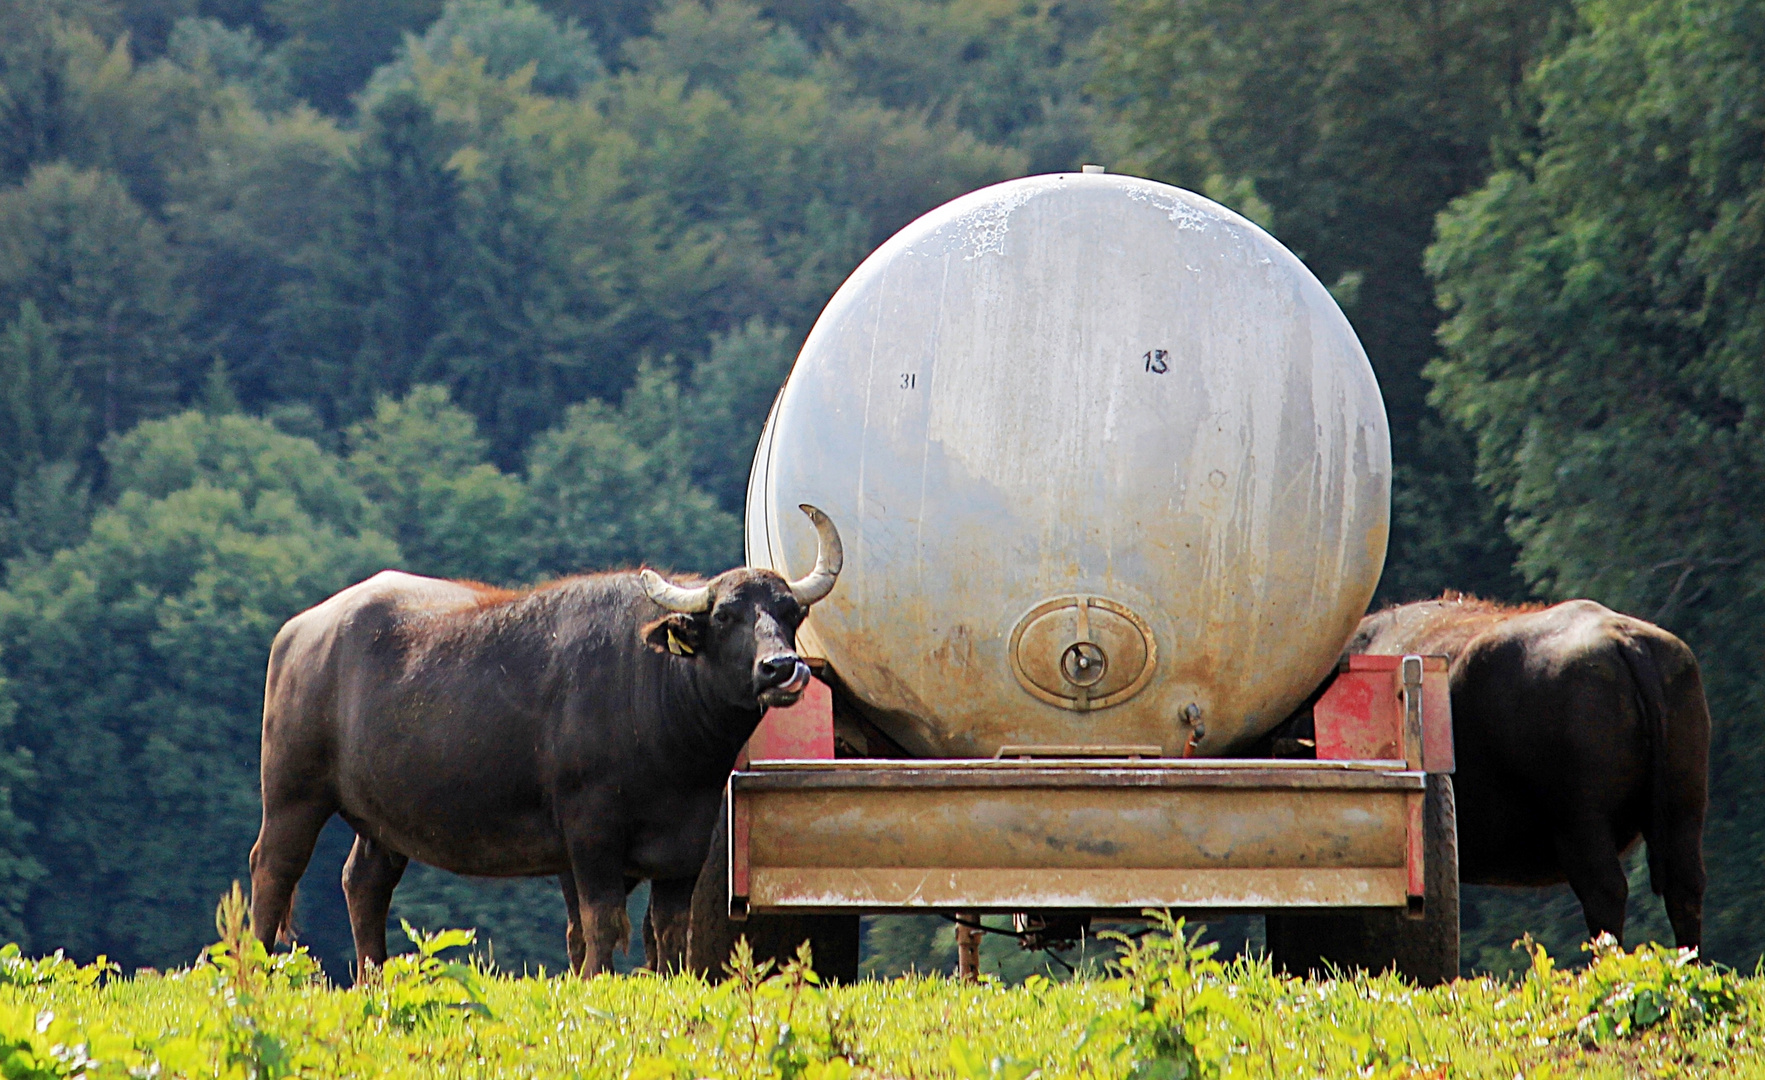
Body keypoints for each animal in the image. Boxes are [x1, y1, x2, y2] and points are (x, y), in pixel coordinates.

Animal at [250, 504, 847, 981]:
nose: (780, 668)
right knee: (272, 870)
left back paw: (374, 978)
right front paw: (596, 981)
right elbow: (601, 923)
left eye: (791, 613)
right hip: (293, 795)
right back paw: (255, 969)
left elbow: (668, 931)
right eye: (725, 615)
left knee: (364, 885)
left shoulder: (686, 845)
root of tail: (300, 632)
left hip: (382, 821)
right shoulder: (590, 832)